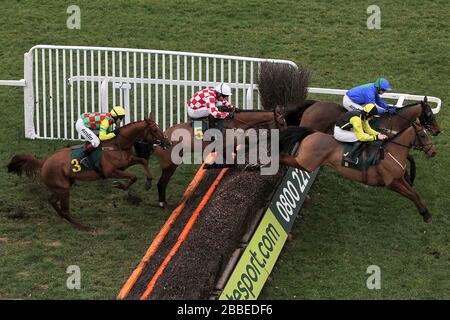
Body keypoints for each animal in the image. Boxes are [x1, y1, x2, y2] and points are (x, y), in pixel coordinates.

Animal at [7, 117, 169, 230]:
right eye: (154, 129)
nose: (167, 142)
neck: (118, 145)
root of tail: (44, 162)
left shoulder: (126, 162)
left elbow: (143, 161)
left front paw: (148, 182)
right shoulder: (111, 171)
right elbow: (133, 176)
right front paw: (119, 185)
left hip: (63, 186)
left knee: (52, 201)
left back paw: (63, 218)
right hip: (63, 188)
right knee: (65, 210)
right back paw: (83, 227)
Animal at [154, 107, 284, 208]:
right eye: (282, 123)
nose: (283, 136)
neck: (235, 122)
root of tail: (161, 140)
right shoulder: (226, 146)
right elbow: (230, 162)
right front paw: (209, 165)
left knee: (163, 182)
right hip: (170, 165)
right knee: (161, 183)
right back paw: (162, 203)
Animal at [280, 122, 438, 222]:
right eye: (423, 136)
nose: (433, 152)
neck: (391, 152)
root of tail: (313, 133)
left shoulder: (399, 179)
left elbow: (415, 194)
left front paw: (426, 213)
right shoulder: (391, 183)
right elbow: (411, 194)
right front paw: (425, 214)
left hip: (306, 164)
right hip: (307, 164)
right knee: (284, 158)